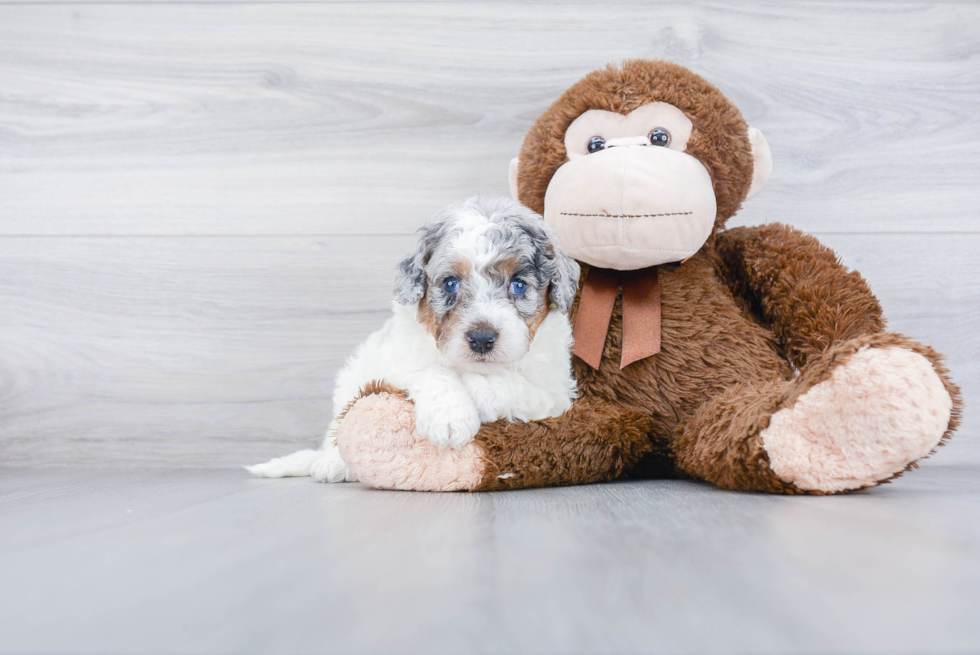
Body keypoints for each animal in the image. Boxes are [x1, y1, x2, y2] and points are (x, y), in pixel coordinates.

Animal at [247, 195, 580, 482]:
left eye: (519, 285)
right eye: (450, 283)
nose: (482, 338)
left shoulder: (556, 393)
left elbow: (511, 383)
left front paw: (476, 391)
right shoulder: (397, 362)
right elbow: (433, 371)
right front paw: (449, 416)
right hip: (351, 382)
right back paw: (332, 463)